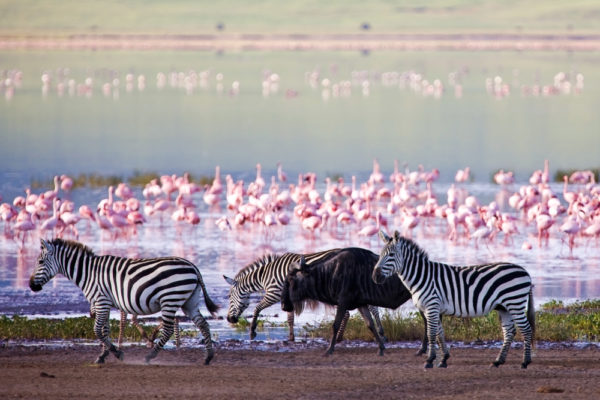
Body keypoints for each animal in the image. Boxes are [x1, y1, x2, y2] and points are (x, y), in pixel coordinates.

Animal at [28, 239, 220, 364]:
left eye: (40, 261)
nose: (31, 285)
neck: (89, 273)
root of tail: (193, 266)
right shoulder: (103, 303)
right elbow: (104, 330)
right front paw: (103, 355)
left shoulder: (101, 301)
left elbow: (97, 330)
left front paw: (117, 353)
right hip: (189, 301)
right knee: (203, 324)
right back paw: (208, 357)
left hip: (170, 299)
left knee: (168, 329)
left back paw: (150, 356)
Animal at [223, 250, 386, 340]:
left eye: (229, 297)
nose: (229, 319)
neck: (265, 276)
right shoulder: (288, 297)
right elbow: (290, 319)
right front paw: (291, 337)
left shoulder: (274, 293)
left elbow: (257, 308)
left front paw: (252, 332)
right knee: (372, 308)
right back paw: (380, 332)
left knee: (351, 312)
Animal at [370, 230, 536, 370]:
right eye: (380, 255)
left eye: (391, 255)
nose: (375, 277)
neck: (422, 276)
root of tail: (525, 271)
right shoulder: (435, 308)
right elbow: (440, 334)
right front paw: (443, 360)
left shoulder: (432, 306)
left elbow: (431, 334)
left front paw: (429, 360)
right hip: (504, 307)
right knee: (509, 332)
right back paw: (498, 361)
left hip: (515, 303)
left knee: (526, 330)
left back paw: (525, 362)